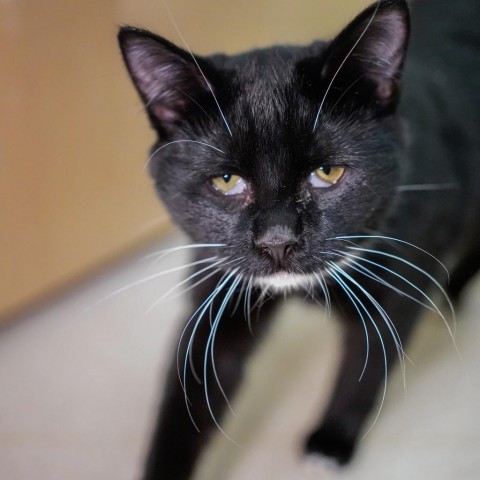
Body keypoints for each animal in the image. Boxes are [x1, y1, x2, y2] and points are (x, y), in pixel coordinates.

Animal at [117, 1, 480, 478]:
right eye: (226, 181)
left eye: (327, 173)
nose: (278, 241)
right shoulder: (218, 285)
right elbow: (189, 393)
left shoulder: (399, 276)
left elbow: (366, 367)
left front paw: (330, 441)